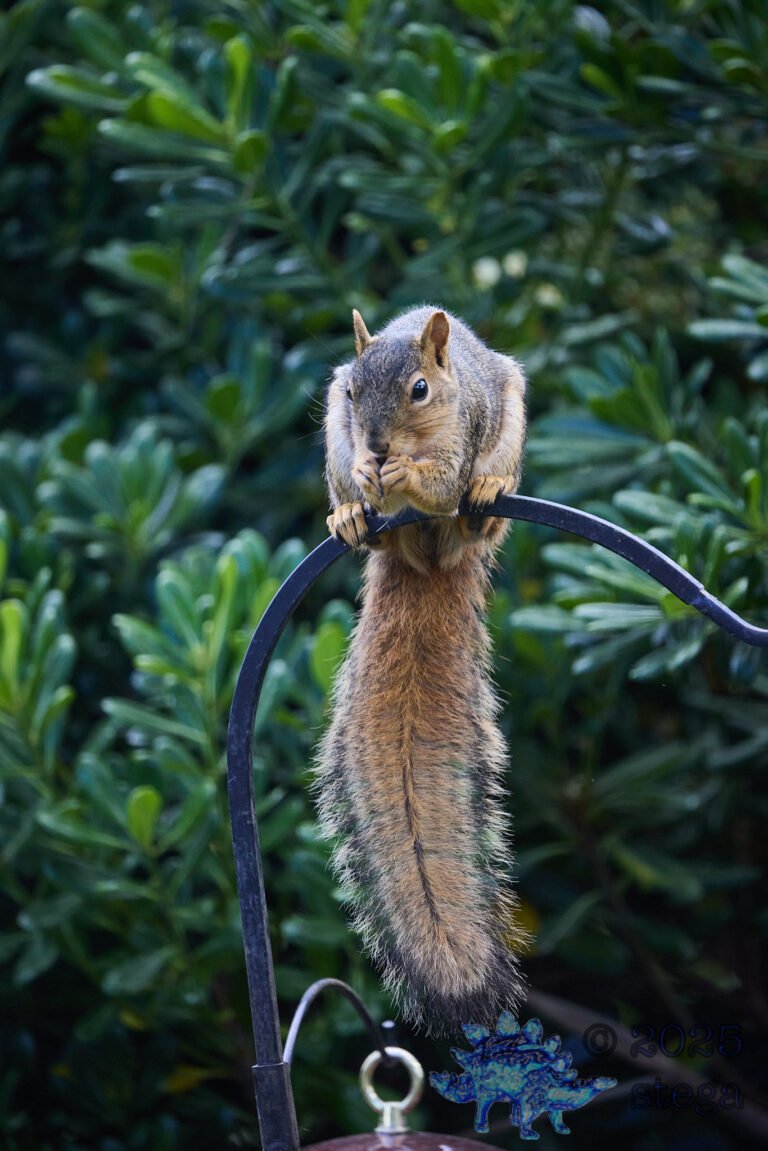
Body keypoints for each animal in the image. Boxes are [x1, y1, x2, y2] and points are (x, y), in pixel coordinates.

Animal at [314, 305, 528, 1034]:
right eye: (353, 391)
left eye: (419, 391)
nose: (378, 447)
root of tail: (430, 561)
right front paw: (368, 475)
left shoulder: (461, 435)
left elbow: (437, 482)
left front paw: (406, 472)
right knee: (371, 523)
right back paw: (352, 514)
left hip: (504, 439)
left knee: (474, 506)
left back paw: (486, 494)